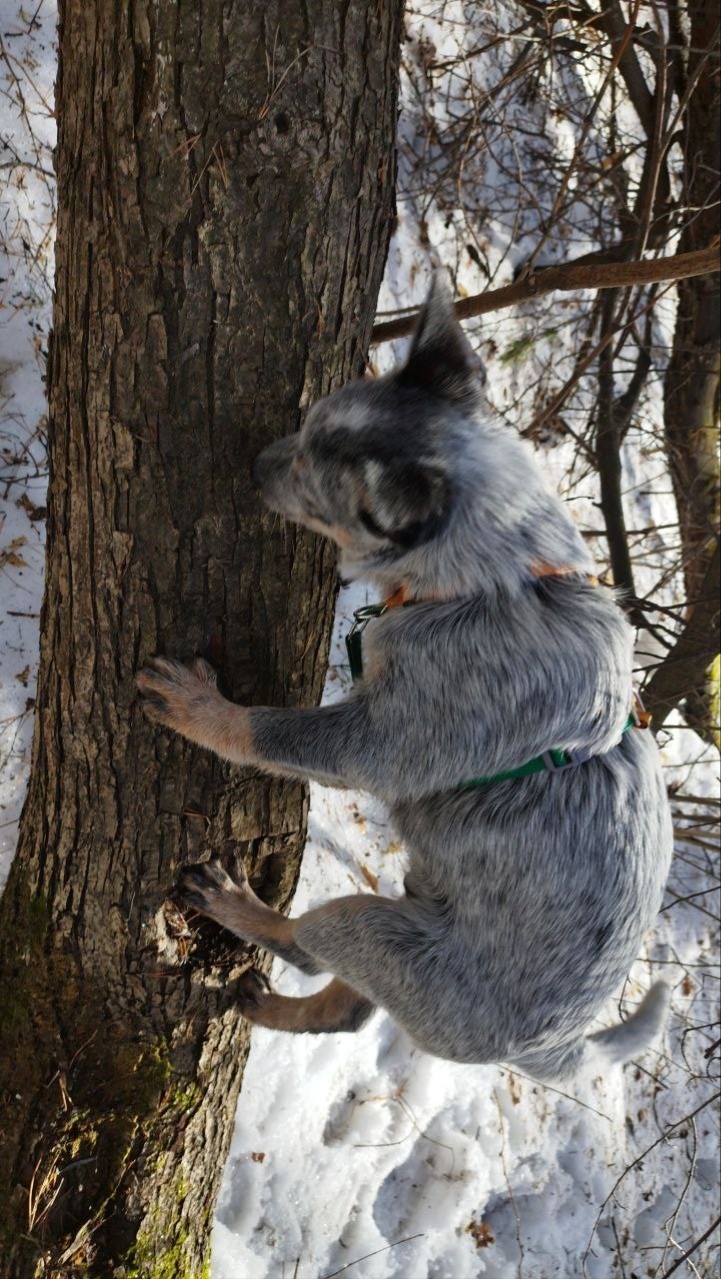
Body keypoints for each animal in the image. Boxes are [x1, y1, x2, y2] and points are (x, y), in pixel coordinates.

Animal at [138, 272, 674, 1079]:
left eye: (310, 477)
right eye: (304, 431)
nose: (255, 462)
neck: (494, 583)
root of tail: (560, 1050)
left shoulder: (382, 741)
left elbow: (268, 731)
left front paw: (200, 707)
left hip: (374, 930)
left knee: (308, 947)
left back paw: (238, 907)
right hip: (401, 925)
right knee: (349, 1012)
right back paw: (266, 1006)